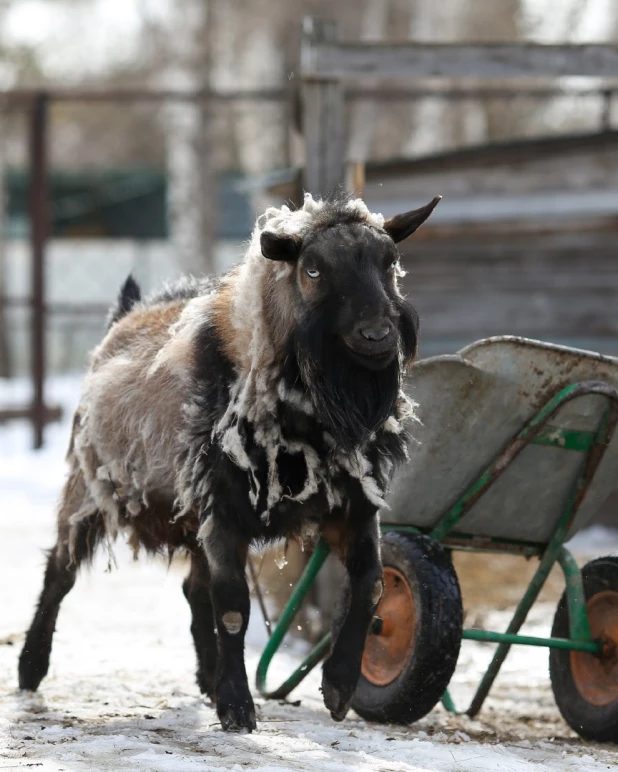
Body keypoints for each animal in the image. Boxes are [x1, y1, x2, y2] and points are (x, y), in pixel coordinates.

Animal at [18, 191, 438, 728]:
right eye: (314, 269)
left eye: (390, 262)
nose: (378, 335)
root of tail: (123, 318)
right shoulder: (224, 507)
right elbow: (234, 607)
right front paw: (238, 706)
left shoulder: (354, 506)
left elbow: (370, 587)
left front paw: (339, 688)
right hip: (89, 489)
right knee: (60, 570)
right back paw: (31, 667)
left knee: (194, 589)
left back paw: (208, 676)